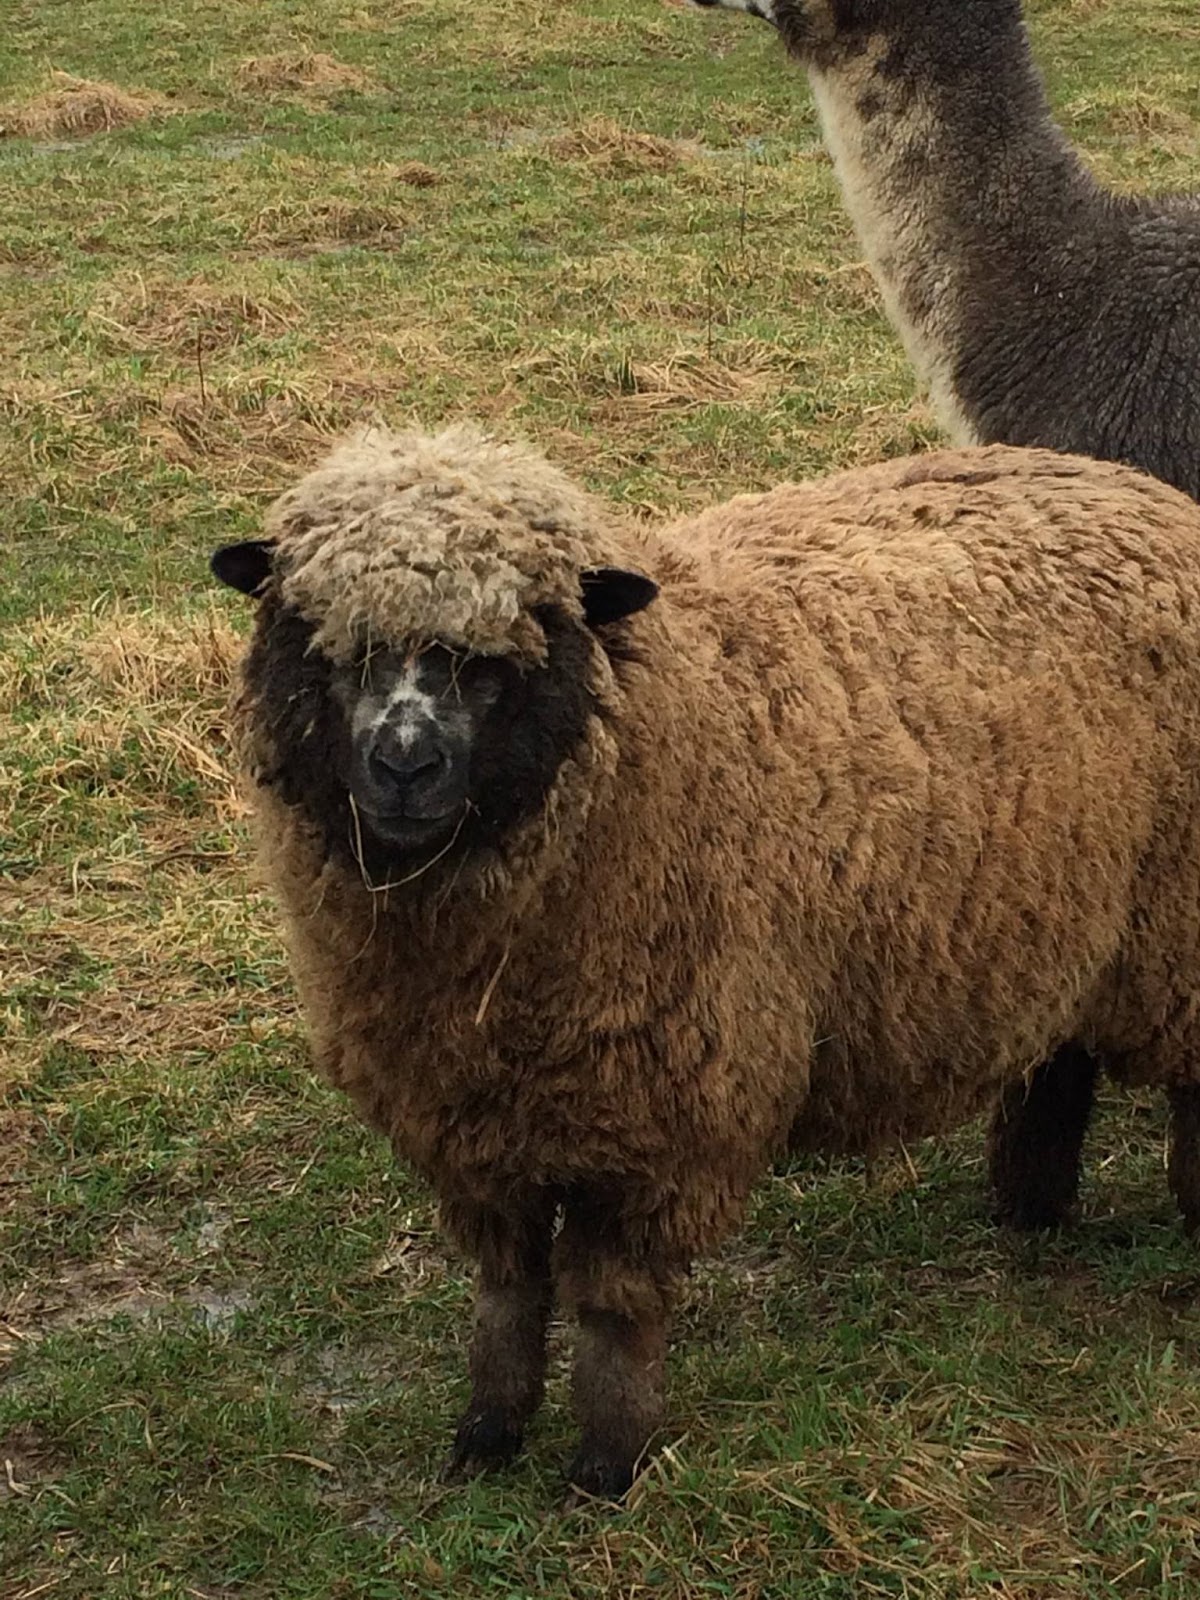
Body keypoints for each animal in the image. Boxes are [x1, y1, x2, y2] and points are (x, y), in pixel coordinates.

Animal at [213, 423, 1200, 1500]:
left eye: (509, 652)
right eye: (324, 641)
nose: (404, 768)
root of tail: (1144, 494)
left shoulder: (666, 1111)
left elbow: (612, 1300)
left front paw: (608, 1462)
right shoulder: (471, 1118)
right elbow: (507, 1287)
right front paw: (487, 1433)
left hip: (1177, 928)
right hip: (1060, 907)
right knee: (1060, 1054)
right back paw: (1031, 1209)